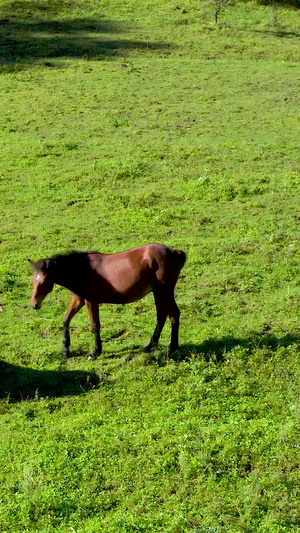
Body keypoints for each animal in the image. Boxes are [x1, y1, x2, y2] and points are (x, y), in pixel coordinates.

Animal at [29, 243, 185, 360]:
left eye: (45, 281)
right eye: (33, 280)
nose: (34, 304)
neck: (82, 270)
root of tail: (174, 252)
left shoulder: (91, 301)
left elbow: (95, 325)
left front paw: (95, 352)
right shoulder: (79, 300)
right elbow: (66, 319)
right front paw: (65, 349)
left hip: (164, 291)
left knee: (173, 314)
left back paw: (173, 346)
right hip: (158, 292)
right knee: (163, 315)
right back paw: (151, 344)